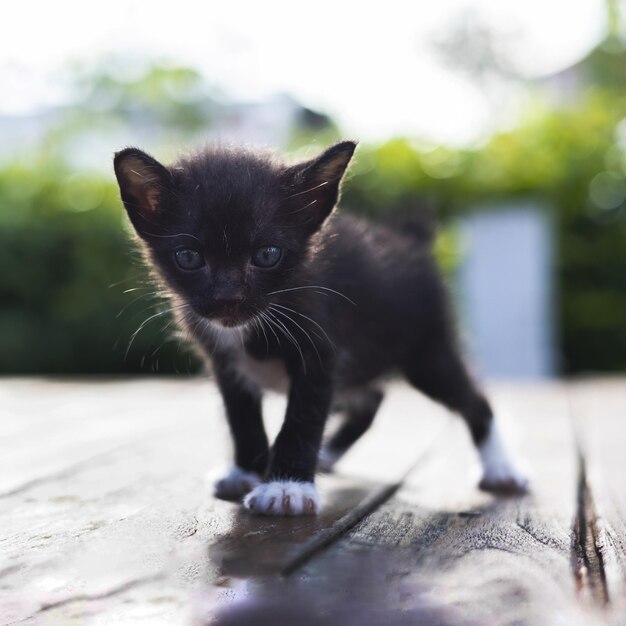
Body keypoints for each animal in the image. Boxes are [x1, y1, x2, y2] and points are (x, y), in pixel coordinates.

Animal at [113, 143, 528, 516]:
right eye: (188, 257)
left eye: (267, 254)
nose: (229, 299)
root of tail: (411, 243)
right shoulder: (225, 361)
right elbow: (241, 417)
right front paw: (246, 470)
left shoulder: (320, 348)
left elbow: (303, 416)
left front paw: (285, 489)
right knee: (372, 398)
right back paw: (327, 454)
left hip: (426, 350)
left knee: (473, 400)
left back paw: (502, 470)